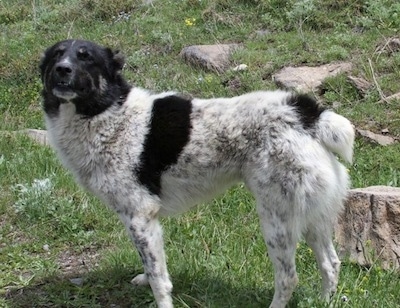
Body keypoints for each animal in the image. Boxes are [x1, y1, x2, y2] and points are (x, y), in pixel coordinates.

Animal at [39, 40, 354, 308]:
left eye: (86, 58)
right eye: (57, 55)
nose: (62, 69)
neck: (107, 114)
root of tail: (305, 113)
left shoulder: (140, 216)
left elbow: (159, 279)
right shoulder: (141, 222)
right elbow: (151, 266)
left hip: (278, 220)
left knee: (288, 277)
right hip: (311, 213)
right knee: (331, 263)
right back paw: (325, 300)